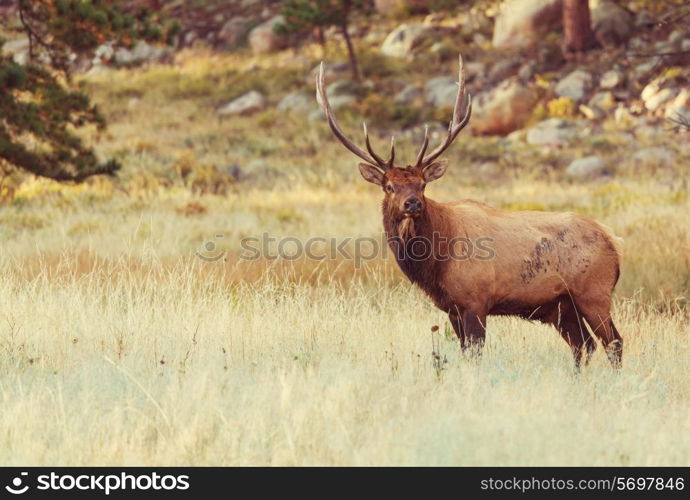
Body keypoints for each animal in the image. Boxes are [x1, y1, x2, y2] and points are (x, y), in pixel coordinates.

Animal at [318, 54, 624, 370]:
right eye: (389, 186)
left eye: (423, 184)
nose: (412, 203)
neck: (436, 262)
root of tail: (613, 242)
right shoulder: (452, 308)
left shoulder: (476, 300)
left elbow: (474, 353)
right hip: (560, 306)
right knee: (584, 345)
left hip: (594, 292)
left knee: (613, 342)